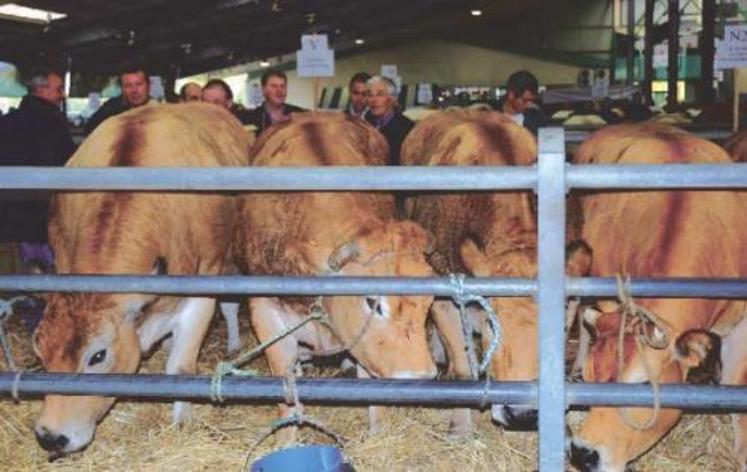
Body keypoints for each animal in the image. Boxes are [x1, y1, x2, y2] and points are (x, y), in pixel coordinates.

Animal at [400, 110, 592, 436]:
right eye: (494, 323)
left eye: (557, 328)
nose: (523, 414)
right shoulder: (443, 294)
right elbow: (463, 368)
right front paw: (460, 427)